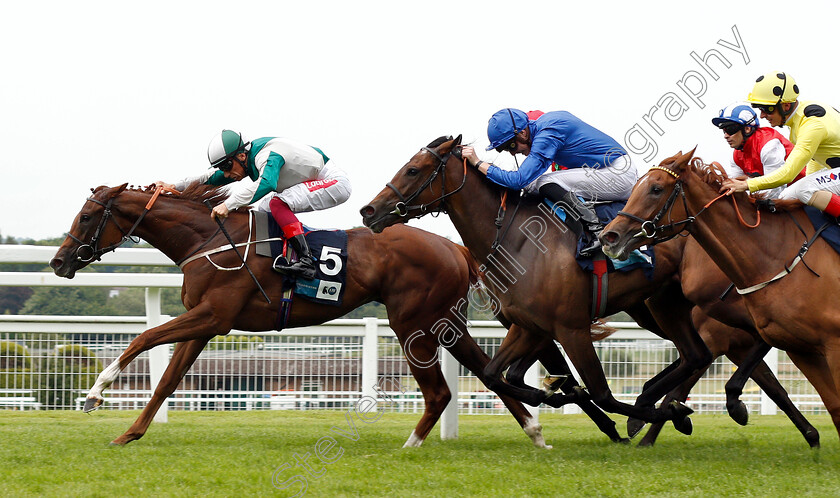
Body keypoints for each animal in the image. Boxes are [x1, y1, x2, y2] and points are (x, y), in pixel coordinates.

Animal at [50, 183, 576, 448]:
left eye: (85, 217)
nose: (58, 261)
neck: (209, 240)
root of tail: (455, 247)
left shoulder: (213, 316)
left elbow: (142, 340)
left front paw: (94, 394)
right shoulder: (205, 323)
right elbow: (167, 380)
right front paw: (131, 432)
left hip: (414, 323)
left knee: (444, 390)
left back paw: (415, 444)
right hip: (445, 322)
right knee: (486, 372)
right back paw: (535, 433)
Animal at [600, 150, 840, 442]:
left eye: (656, 189)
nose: (609, 237)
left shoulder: (719, 335)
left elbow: (682, 382)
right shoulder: (747, 337)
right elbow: (773, 386)